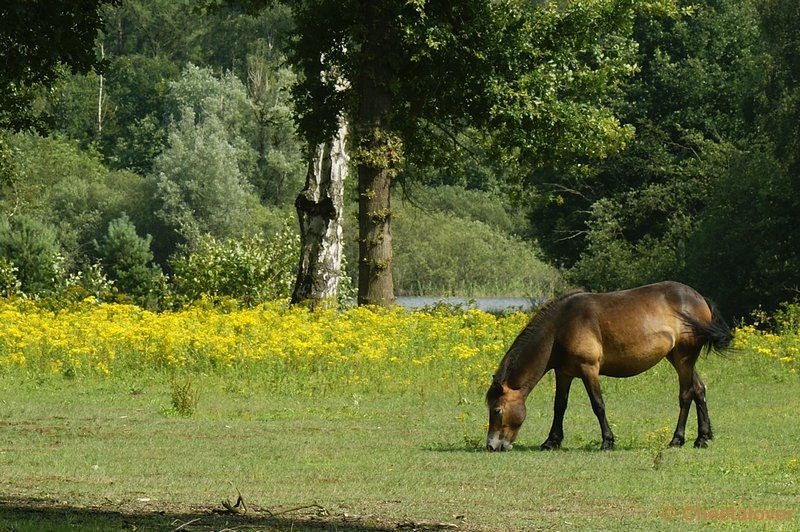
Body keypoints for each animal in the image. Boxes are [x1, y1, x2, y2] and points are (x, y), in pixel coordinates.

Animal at [488, 280, 732, 450]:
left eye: (497, 410)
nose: (492, 445)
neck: (561, 327)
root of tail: (700, 299)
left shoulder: (589, 370)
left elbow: (598, 405)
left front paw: (607, 442)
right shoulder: (564, 373)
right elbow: (560, 406)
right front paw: (551, 441)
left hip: (684, 358)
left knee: (686, 395)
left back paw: (677, 439)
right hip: (678, 358)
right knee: (699, 390)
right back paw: (702, 438)